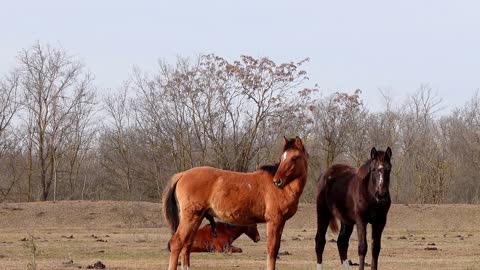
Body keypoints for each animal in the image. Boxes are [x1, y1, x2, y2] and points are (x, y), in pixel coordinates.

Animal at [163, 137, 310, 270]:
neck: (284, 188)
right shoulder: (274, 221)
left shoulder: (281, 222)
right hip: (191, 217)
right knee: (177, 243)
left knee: (186, 245)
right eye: (282, 157)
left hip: (197, 218)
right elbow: (272, 250)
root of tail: (183, 174)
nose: (277, 181)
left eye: (294, 157)